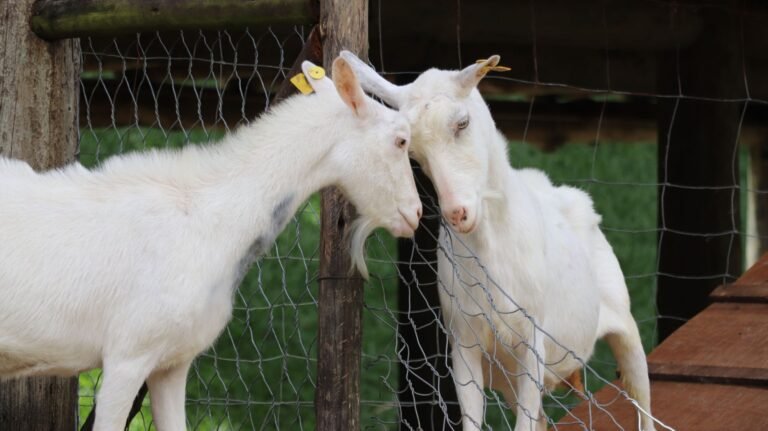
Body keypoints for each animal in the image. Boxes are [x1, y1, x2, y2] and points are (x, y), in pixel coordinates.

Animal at [342, 51, 656, 431]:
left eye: (462, 123)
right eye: (412, 151)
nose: (457, 212)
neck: (489, 249)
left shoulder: (532, 342)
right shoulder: (464, 346)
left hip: (624, 324)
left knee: (642, 402)